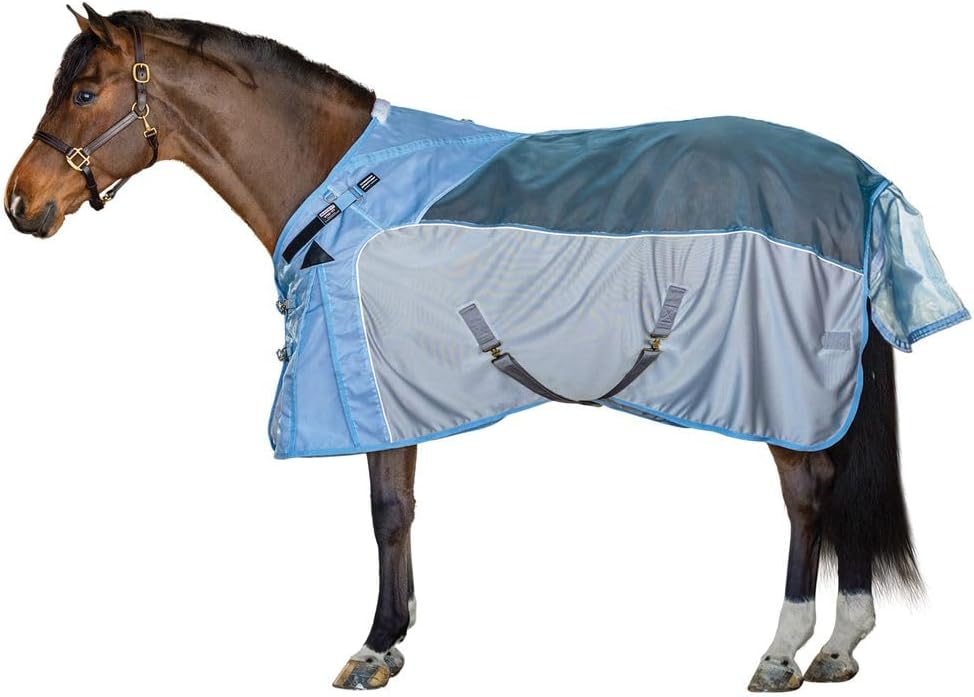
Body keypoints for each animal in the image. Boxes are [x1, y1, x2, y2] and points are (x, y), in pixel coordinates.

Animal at [5, 5, 965, 692]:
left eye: (83, 94)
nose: (22, 203)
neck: (343, 185)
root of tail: (860, 180)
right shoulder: (400, 390)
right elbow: (402, 510)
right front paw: (395, 639)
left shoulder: (373, 387)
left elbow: (383, 511)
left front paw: (373, 646)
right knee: (844, 493)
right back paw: (841, 644)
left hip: (784, 388)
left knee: (810, 497)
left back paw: (782, 650)